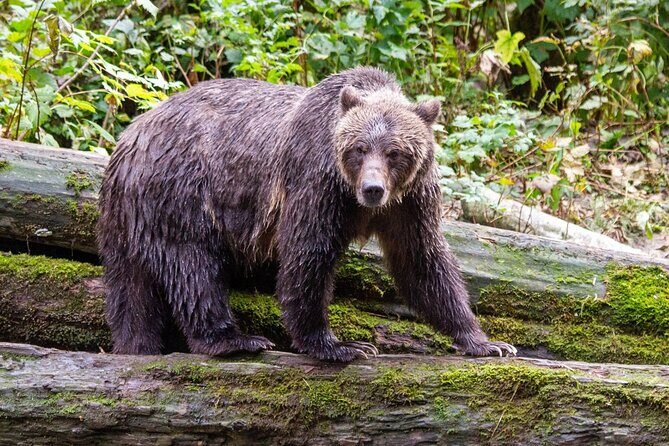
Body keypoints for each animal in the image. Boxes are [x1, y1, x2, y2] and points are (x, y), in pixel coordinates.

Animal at [98, 66, 516, 362]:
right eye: (359, 148)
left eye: (395, 152)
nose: (373, 189)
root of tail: (128, 138)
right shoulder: (316, 181)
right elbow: (308, 254)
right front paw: (339, 345)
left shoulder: (410, 200)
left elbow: (422, 260)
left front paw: (486, 341)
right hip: (182, 191)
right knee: (193, 266)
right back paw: (235, 339)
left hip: (130, 216)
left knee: (131, 288)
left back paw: (137, 344)